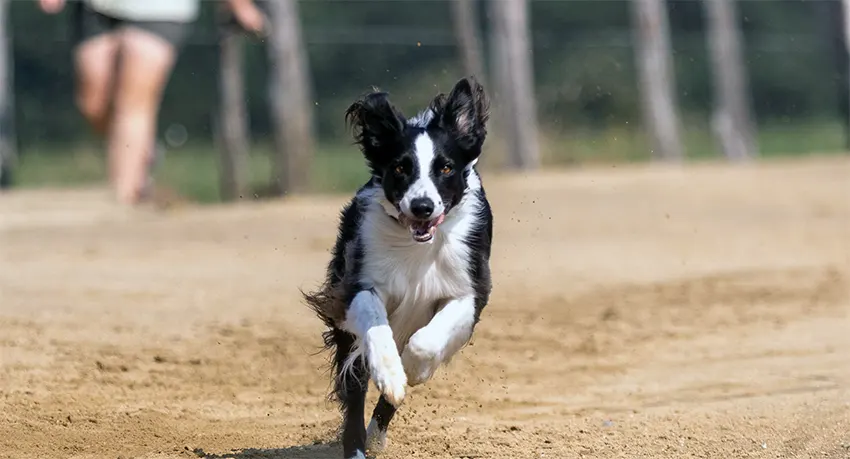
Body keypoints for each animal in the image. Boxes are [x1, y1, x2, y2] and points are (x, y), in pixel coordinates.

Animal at [304, 77, 490, 458]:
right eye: (401, 167)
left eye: (446, 167)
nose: (422, 206)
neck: (415, 246)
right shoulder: (355, 286)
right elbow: (375, 329)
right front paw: (391, 375)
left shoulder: (469, 291)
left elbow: (425, 343)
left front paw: (413, 370)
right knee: (354, 385)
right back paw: (359, 447)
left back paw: (376, 435)